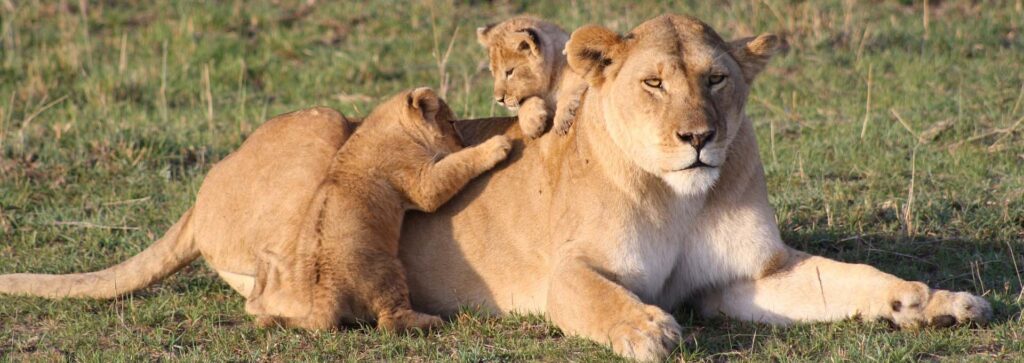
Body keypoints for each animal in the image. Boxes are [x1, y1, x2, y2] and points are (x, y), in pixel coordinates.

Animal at [2, 13, 991, 360]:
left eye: (715, 80)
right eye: (653, 84)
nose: (699, 138)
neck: (681, 194)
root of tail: (202, 188)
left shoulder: (749, 276)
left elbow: (848, 279)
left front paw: (931, 301)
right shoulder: (568, 271)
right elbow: (599, 298)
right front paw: (646, 330)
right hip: (326, 133)